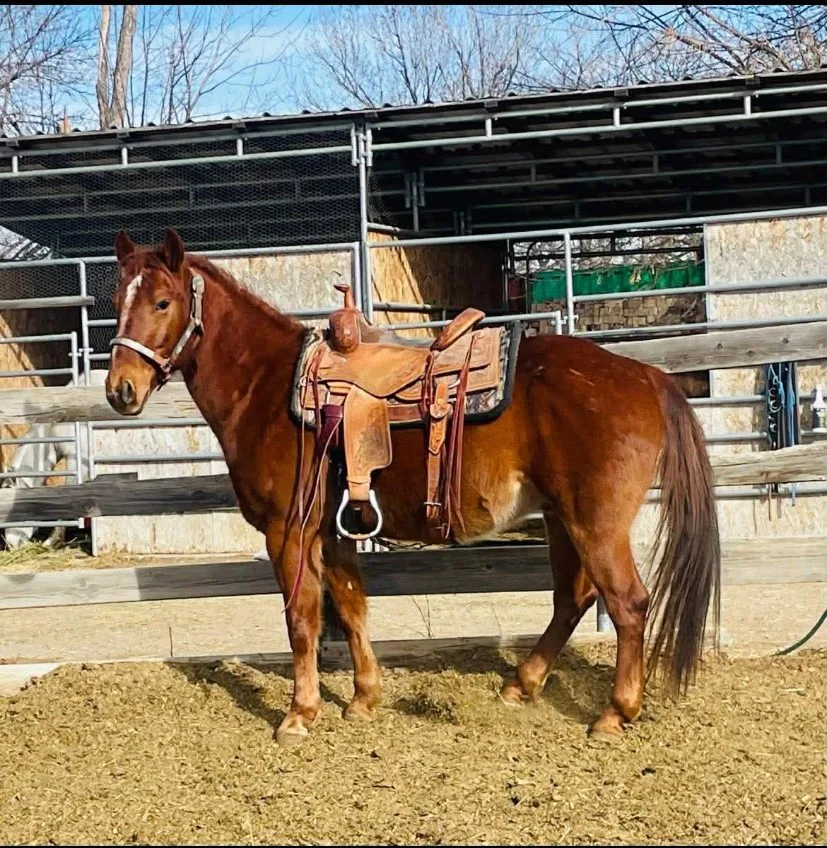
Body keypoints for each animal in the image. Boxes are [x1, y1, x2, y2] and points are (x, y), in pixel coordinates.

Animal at [104, 228, 721, 746]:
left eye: (162, 302)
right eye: (116, 302)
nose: (120, 390)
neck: (268, 387)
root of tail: (644, 375)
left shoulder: (289, 529)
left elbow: (301, 617)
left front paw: (300, 714)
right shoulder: (333, 530)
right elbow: (351, 604)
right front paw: (363, 699)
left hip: (594, 522)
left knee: (628, 603)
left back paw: (615, 712)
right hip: (561, 519)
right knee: (574, 598)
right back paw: (521, 685)